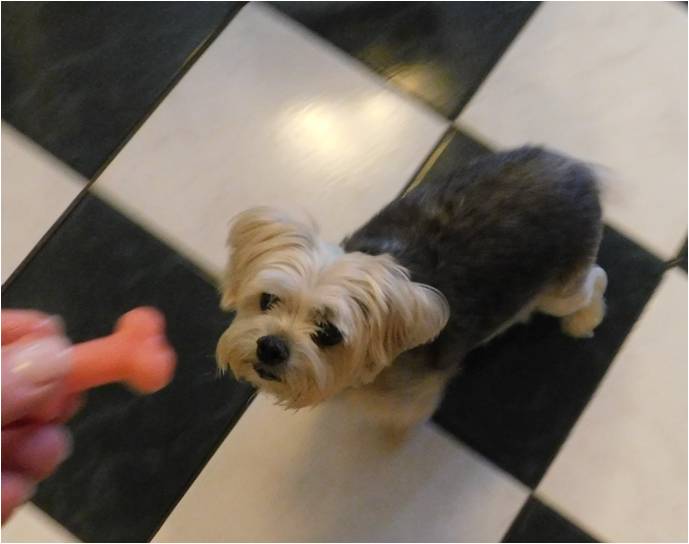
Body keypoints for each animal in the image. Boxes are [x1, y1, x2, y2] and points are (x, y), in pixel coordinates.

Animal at [216, 147, 608, 436]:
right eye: (267, 300)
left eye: (328, 333)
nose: (271, 346)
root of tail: (578, 170)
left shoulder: (410, 399)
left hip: (561, 290)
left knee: (595, 280)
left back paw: (584, 319)